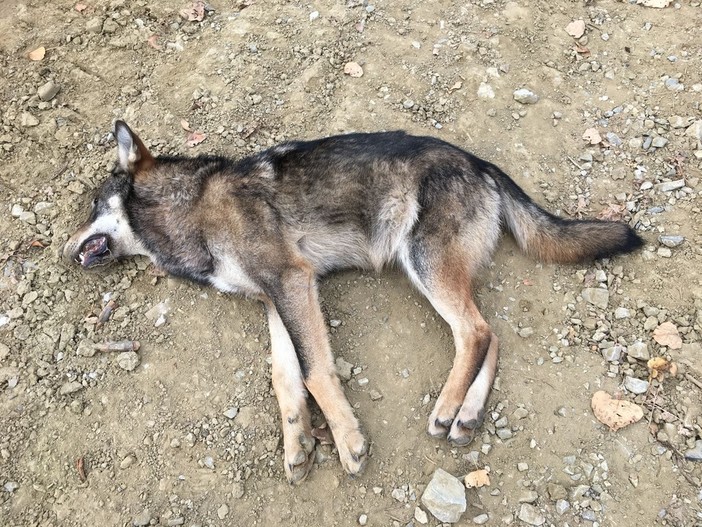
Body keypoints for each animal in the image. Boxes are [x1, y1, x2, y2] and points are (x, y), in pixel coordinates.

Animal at [63, 121, 643, 483]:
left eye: (92, 204)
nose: (63, 250)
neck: (190, 204)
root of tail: (479, 162)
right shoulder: (276, 299)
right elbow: (285, 378)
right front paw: (297, 444)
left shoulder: (293, 283)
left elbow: (316, 371)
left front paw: (347, 441)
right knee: (490, 336)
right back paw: (469, 414)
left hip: (423, 264)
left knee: (475, 333)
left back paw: (447, 407)